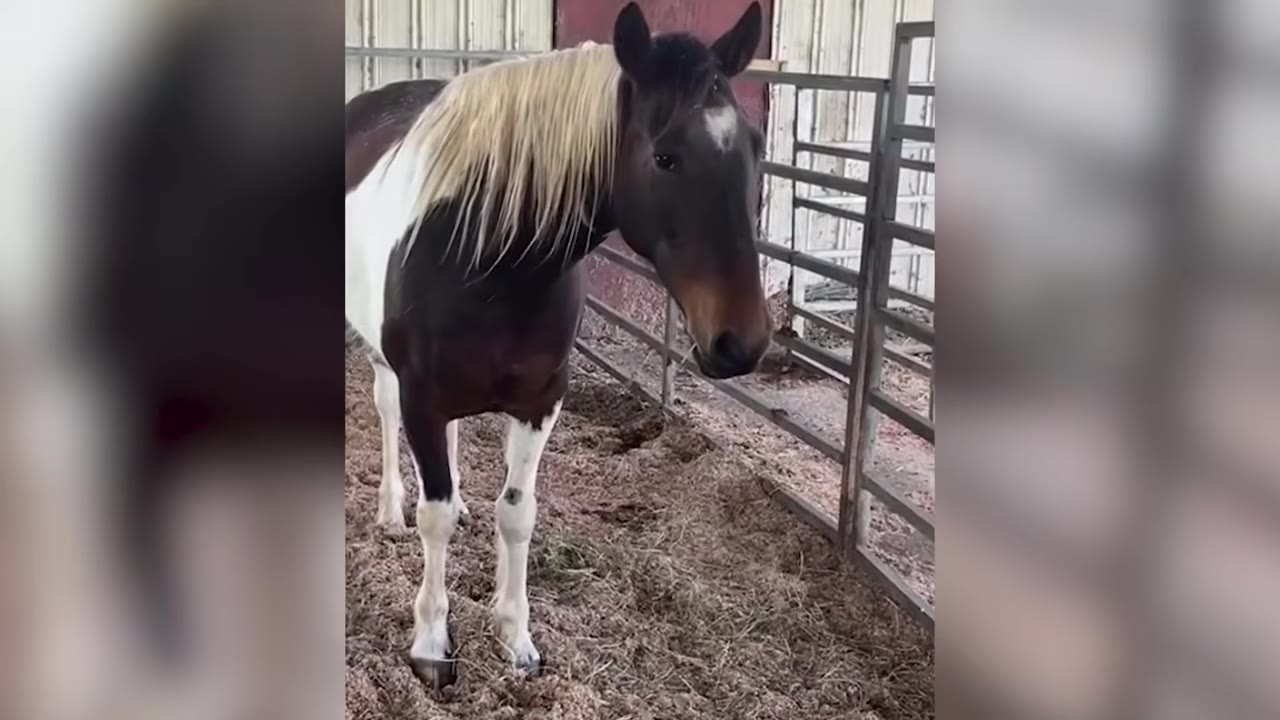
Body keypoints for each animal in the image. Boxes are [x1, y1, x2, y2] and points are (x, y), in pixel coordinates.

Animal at [345, 1, 770, 687]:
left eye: (756, 147)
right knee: (386, 415)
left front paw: (515, 637)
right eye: (666, 157)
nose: (743, 342)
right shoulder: (422, 399)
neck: (488, 259)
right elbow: (433, 516)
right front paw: (432, 643)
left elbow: (517, 515)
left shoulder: (541, 402)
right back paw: (390, 509)